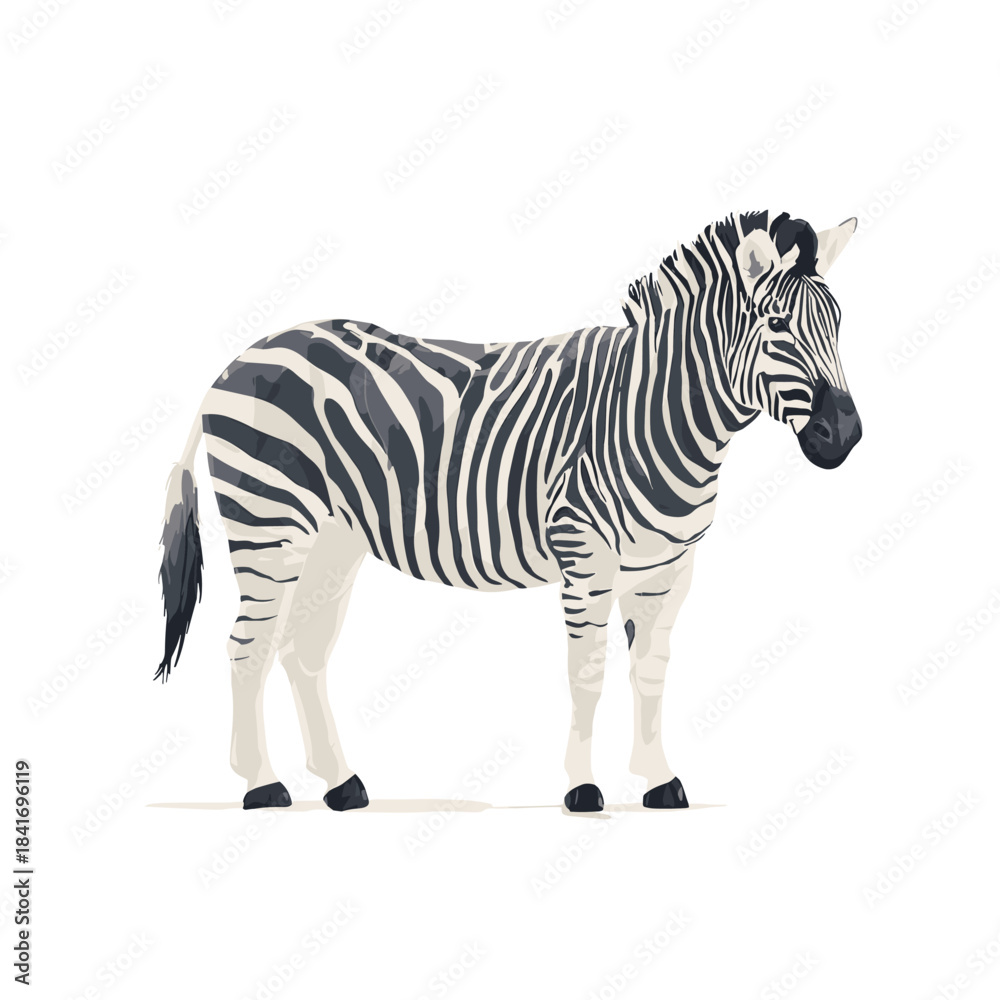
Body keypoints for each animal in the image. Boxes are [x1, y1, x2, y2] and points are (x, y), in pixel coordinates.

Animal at [156, 210, 862, 813]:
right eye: (776, 325)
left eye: (838, 323)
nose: (846, 435)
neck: (654, 411)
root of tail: (236, 360)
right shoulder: (584, 549)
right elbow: (588, 671)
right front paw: (582, 789)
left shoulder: (667, 567)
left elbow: (651, 672)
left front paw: (659, 782)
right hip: (267, 522)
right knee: (246, 646)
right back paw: (261, 784)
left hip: (335, 540)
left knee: (302, 651)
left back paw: (341, 784)